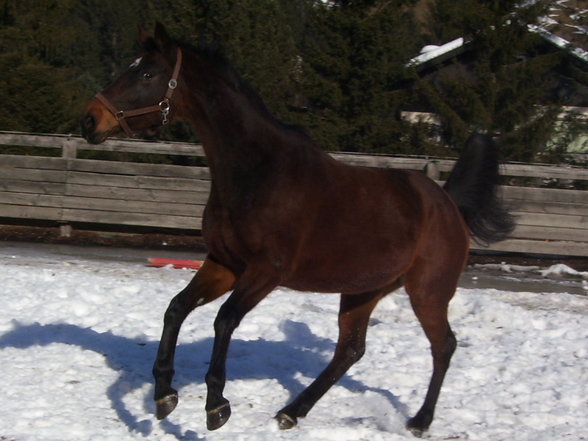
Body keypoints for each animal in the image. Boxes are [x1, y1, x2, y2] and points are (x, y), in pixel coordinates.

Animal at [80, 24, 512, 434]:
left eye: (147, 73)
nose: (90, 120)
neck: (260, 173)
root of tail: (447, 204)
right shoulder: (224, 264)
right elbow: (176, 309)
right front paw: (164, 394)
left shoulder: (265, 272)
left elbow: (224, 319)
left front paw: (216, 406)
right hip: (363, 290)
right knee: (350, 350)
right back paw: (291, 412)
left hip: (428, 291)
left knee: (444, 346)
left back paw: (420, 421)